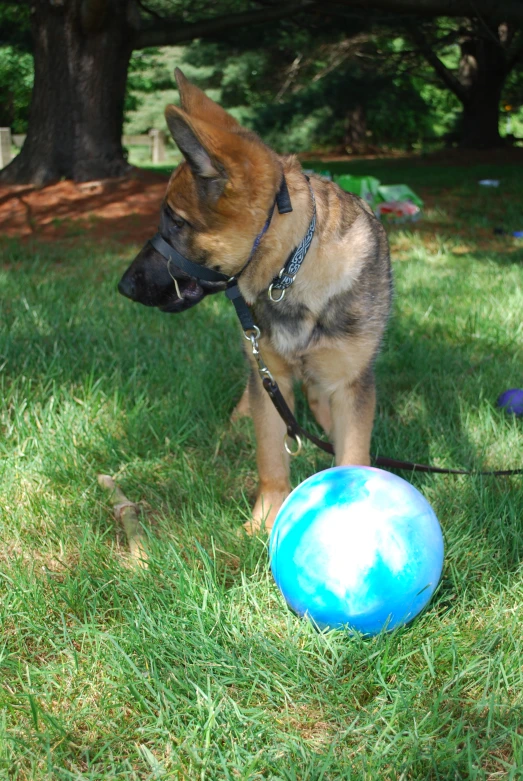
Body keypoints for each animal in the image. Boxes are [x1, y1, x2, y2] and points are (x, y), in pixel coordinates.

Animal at [117, 70, 388, 532]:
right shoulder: (269, 374)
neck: (292, 269)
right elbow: (271, 457)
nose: (124, 286)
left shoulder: (350, 383)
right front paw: (263, 522)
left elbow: (353, 453)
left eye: (176, 221)